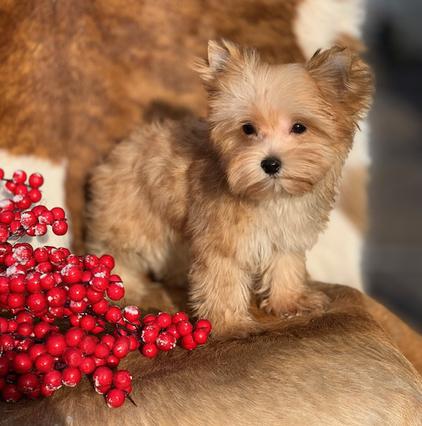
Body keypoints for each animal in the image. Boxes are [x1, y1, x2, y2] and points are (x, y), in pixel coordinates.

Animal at [86, 40, 372, 334]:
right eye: (247, 128)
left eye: (299, 127)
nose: (270, 163)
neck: (271, 196)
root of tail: (123, 148)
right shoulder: (221, 240)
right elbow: (223, 280)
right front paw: (230, 324)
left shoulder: (286, 235)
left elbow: (285, 266)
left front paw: (289, 301)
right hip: (132, 215)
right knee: (117, 250)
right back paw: (122, 285)